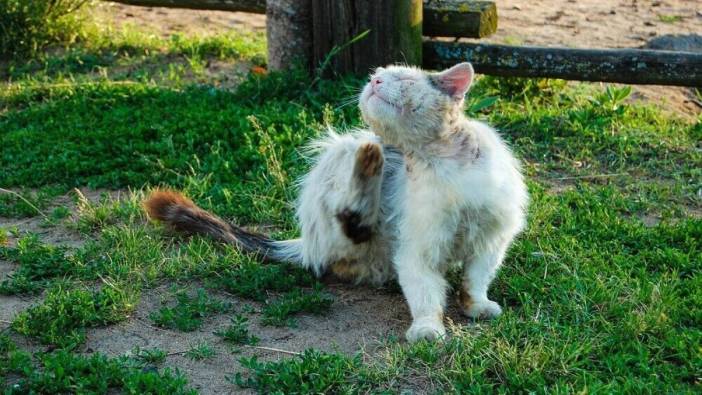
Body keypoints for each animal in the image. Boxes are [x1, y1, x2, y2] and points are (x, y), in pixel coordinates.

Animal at [146, 62, 532, 344]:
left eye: (405, 78)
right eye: (376, 76)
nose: (375, 80)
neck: (439, 162)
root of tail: (305, 242)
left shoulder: (492, 240)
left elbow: (475, 279)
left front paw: (477, 305)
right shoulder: (417, 249)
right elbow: (425, 294)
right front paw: (427, 328)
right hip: (341, 153)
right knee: (349, 223)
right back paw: (369, 164)